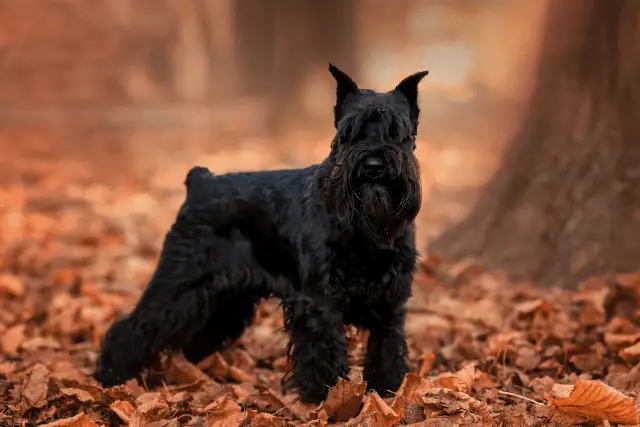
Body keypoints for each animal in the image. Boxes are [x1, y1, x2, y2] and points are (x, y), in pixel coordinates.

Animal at [92, 64, 428, 404]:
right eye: (348, 132)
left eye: (397, 132)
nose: (373, 165)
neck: (366, 229)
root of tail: (200, 181)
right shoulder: (318, 301)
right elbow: (323, 349)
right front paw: (326, 395)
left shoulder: (391, 301)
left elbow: (387, 346)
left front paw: (387, 389)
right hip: (178, 282)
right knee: (135, 327)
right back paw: (110, 376)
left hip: (227, 299)